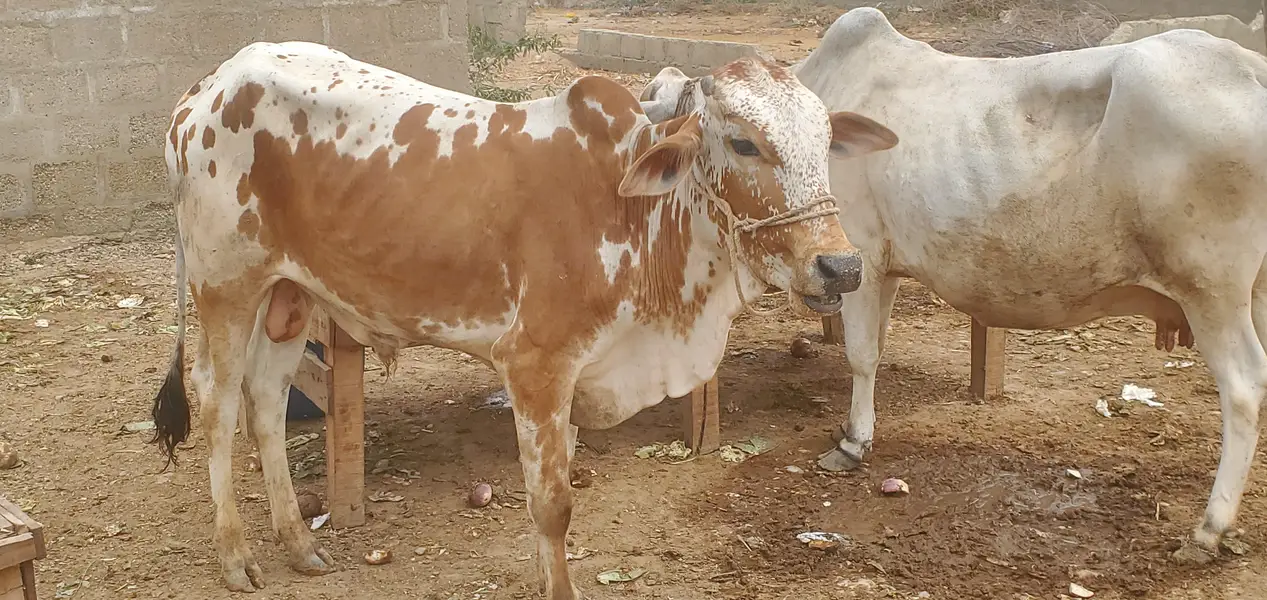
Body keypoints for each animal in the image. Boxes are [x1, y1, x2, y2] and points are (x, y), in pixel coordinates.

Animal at [147, 40, 899, 597]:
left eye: (827, 140)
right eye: (743, 144)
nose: (840, 267)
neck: (633, 213)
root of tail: (204, 88)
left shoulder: (575, 373)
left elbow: (558, 490)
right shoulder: (535, 365)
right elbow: (552, 504)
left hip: (290, 294)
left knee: (268, 400)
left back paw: (298, 542)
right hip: (225, 286)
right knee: (217, 402)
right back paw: (235, 556)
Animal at [671, 7, 1267, 561]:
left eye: (741, 144)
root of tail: (1250, 67)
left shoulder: (859, 258)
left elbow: (862, 356)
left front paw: (854, 442)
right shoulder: (882, 268)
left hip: (1212, 290)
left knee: (1243, 387)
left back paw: (1209, 528)